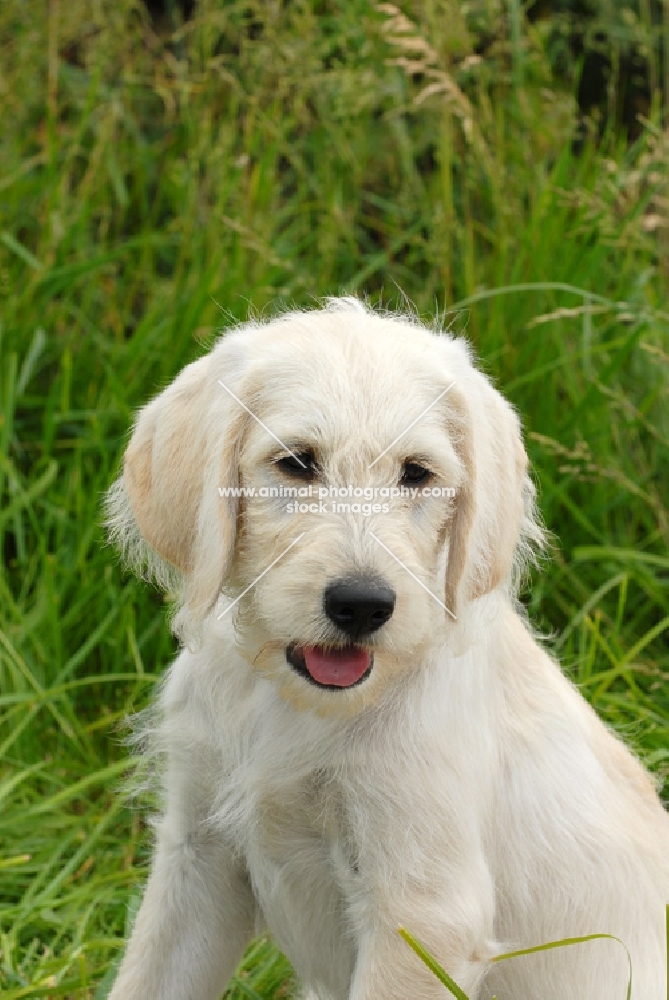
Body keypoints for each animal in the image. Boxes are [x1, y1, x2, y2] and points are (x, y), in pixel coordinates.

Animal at [104, 298, 668, 1000]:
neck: (293, 706)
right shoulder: (198, 859)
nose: (363, 605)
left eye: (416, 474)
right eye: (296, 463)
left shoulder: (422, 914)